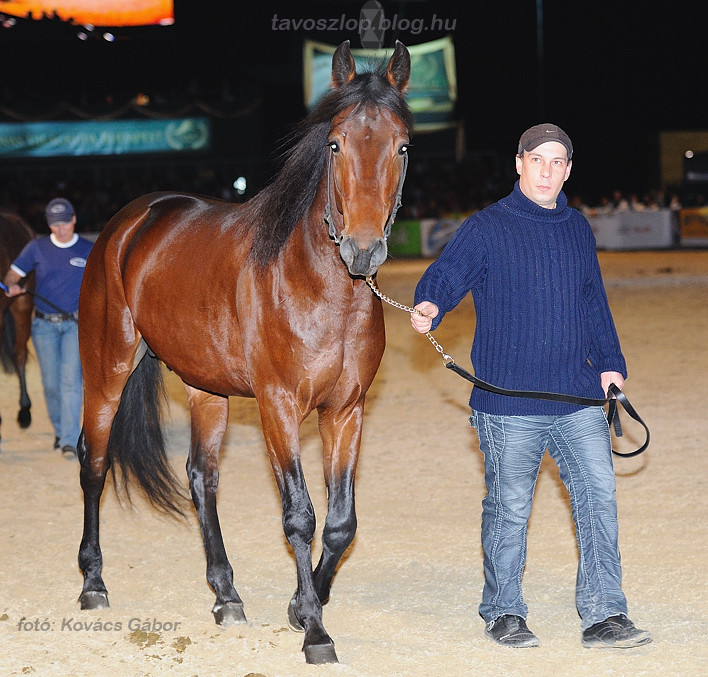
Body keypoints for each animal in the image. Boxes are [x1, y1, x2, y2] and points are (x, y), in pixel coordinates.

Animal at [77, 39, 412, 664]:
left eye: (402, 146)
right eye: (335, 143)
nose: (363, 249)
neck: (322, 289)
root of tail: (129, 222)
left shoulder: (345, 410)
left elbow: (341, 524)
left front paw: (302, 604)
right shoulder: (279, 406)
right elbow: (300, 516)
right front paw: (315, 630)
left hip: (206, 388)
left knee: (201, 478)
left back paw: (226, 595)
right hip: (106, 369)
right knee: (94, 462)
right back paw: (93, 582)